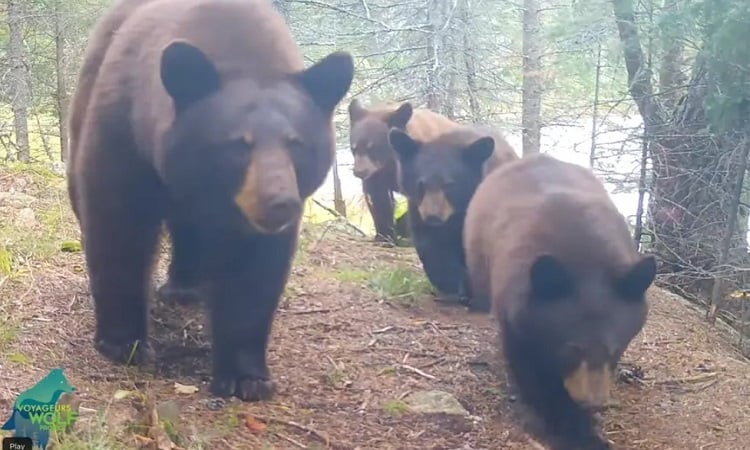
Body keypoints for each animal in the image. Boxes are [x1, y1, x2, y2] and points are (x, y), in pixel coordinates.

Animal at [65, 0, 356, 400]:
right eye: (239, 143)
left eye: (296, 143)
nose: (281, 202)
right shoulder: (125, 130)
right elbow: (120, 226)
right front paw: (123, 343)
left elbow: (252, 272)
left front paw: (246, 376)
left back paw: (185, 288)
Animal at [346, 99, 458, 246]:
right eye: (354, 148)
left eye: (373, 147)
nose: (359, 171)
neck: (391, 162)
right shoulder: (377, 174)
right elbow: (378, 199)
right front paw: (384, 237)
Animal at [388, 125, 516, 312]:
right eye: (421, 184)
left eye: (449, 184)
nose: (433, 216)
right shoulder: (418, 210)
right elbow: (431, 246)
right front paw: (449, 283)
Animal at [468, 153, 656, 448]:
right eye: (572, 349)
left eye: (615, 349)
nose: (594, 402)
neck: (586, 259)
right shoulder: (516, 311)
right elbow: (533, 373)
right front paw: (579, 431)